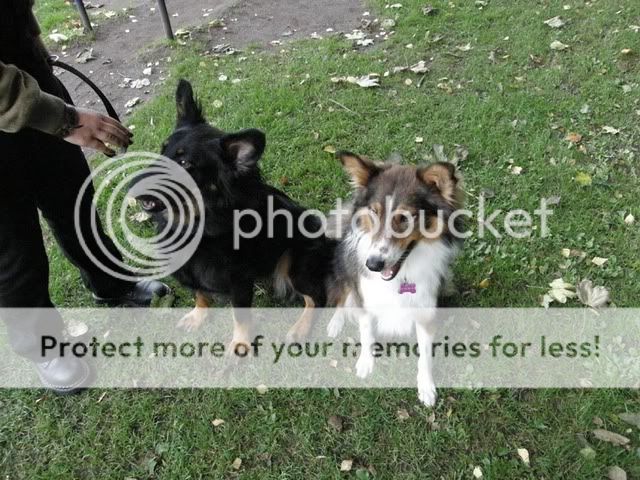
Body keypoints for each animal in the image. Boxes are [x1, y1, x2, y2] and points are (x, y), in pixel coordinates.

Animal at [130, 79, 338, 350]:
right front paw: (198, 314)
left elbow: (239, 316)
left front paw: (240, 344)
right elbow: (199, 292)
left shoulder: (238, 280)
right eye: (162, 150)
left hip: (293, 260)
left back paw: (299, 329)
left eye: (185, 163)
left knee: (316, 297)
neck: (198, 222)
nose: (131, 187)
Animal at [327, 152, 464, 406]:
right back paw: (335, 322)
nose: (373, 264)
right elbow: (366, 330)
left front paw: (426, 386)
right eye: (374, 212)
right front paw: (366, 363)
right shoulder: (365, 295)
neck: (401, 275)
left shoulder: (425, 307)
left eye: (404, 218)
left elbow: (425, 353)